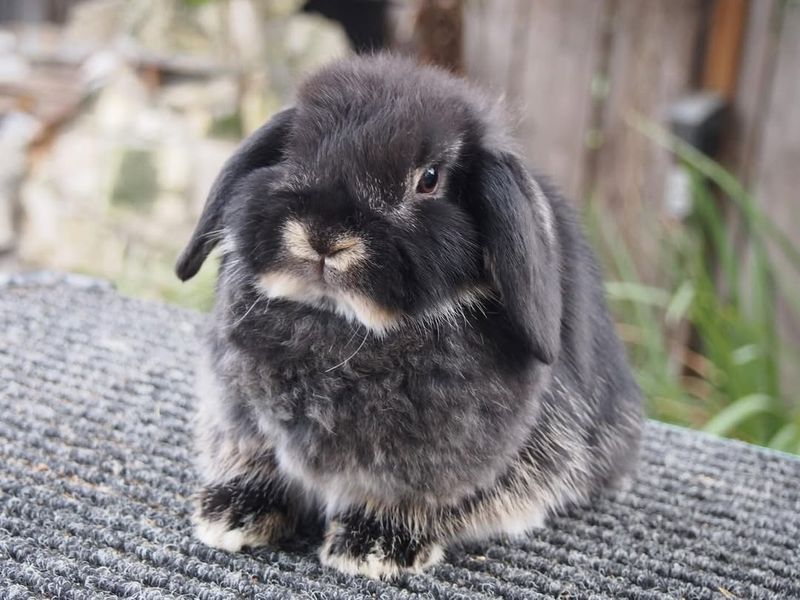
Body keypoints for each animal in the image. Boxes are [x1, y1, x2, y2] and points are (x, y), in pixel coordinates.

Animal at [175, 54, 644, 580]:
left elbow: (407, 499)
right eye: (292, 151)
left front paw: (372, 549)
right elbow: (255, 465)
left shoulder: (437, 467)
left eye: (430, 179)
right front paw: (230, 516)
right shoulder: (241, 423)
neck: (343, 326)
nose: (323, 236)